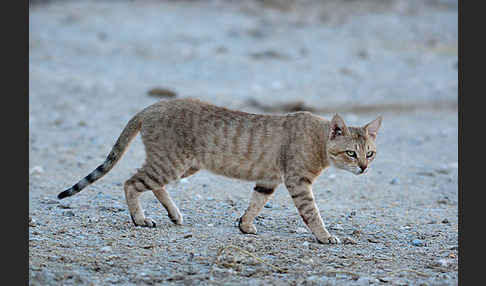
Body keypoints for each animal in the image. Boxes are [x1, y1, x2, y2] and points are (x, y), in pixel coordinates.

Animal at [58, 98, 384, 244]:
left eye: (370, 153)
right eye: (351, 153)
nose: (364, 168)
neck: (318, 140)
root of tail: (152, 105)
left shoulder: (268, 179)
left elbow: (256, 202)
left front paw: (245, 225)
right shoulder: (297, 181)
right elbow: (312, 212)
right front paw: (325, 236)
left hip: (182, 165)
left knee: (150, 183)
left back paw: (173, 214)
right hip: (172, 162)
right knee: (130, 182)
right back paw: (140, 219)